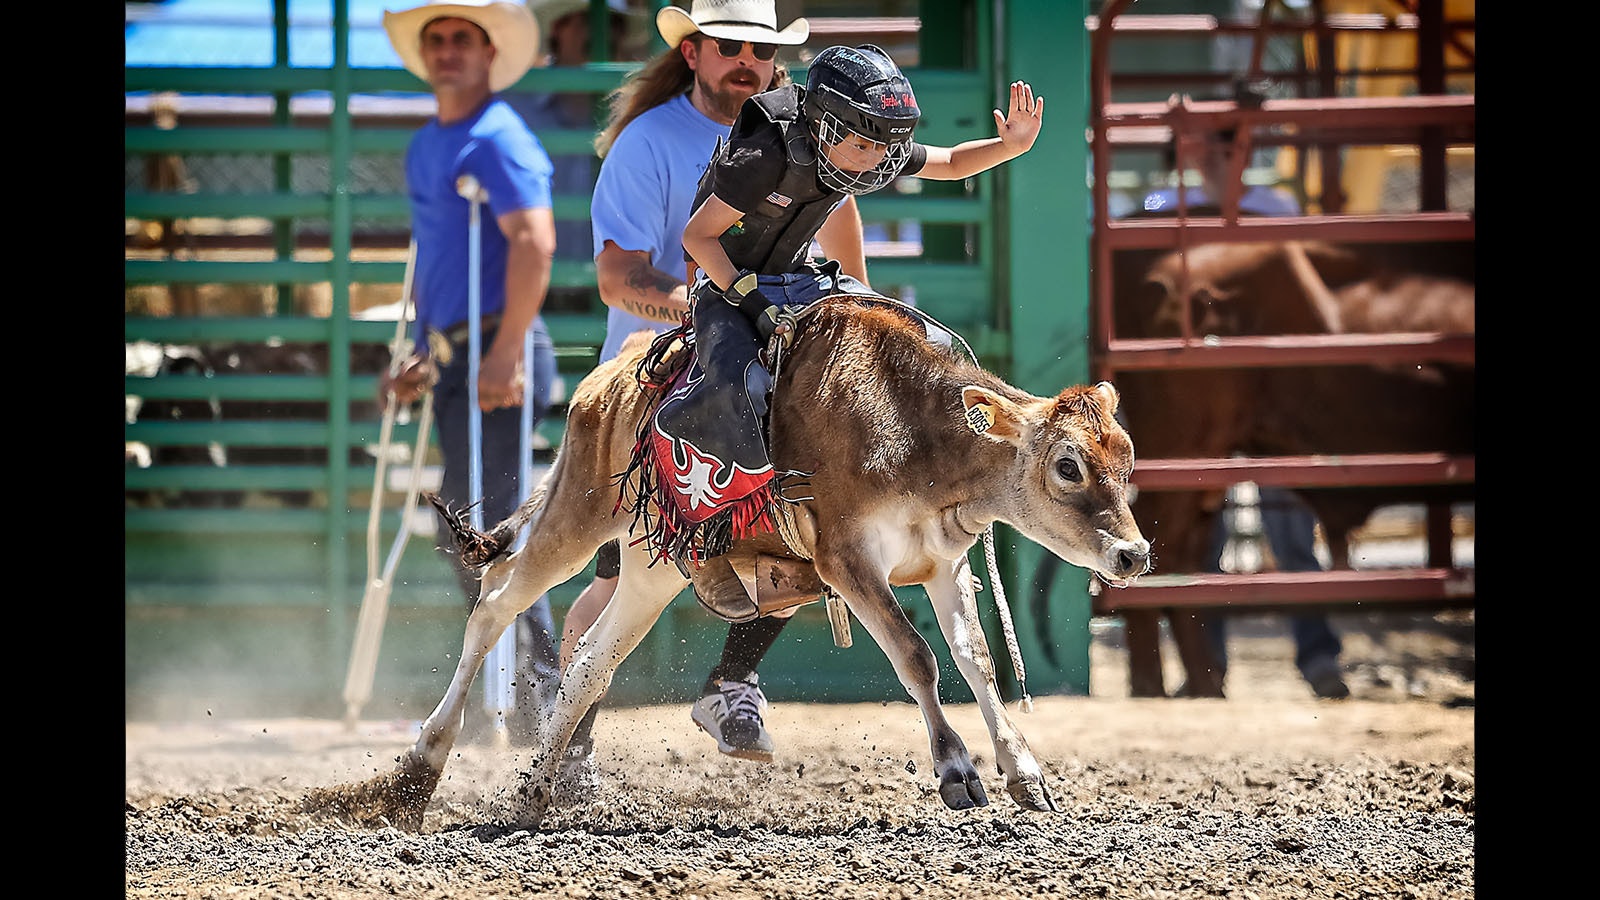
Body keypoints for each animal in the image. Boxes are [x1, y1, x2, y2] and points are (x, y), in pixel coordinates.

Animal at [302, 294, 1152, 826]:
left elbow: (975, 659)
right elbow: (917, 658)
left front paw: (1024, 772)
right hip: (576, 518)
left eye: (1128, 458)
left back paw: (535, 790)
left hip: (649, 569)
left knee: (589, 664)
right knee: (496, 602)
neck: (908, 429)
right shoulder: (850, 562)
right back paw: (419, 769)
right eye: (1068, 466)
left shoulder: (942, 566)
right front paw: (957, 772)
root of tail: (607, 377)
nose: (1135, 552)